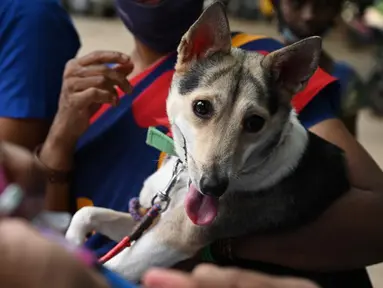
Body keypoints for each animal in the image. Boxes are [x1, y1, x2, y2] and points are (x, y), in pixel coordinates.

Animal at [67, 1, 352, 282]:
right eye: (201, 107)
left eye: (255, 123)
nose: (213, 187)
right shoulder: (148, 219)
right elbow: (85, 214)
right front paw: (73, 240)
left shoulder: (168, 241)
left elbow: (104, 264)